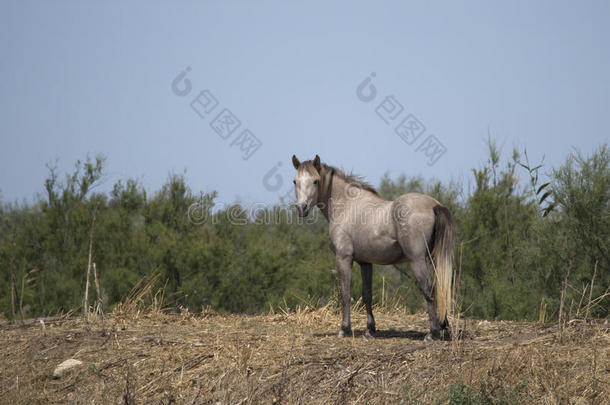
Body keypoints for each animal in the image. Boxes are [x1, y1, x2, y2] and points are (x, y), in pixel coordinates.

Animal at [290, 154, 452, 338]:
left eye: (316, 181)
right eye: (295, 181)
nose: (301, 208)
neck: (347, 206)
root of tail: (434, 205)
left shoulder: (343, 258)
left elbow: (345, 293)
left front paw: (344, 329)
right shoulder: (365, 263)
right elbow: (367, 294)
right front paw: (370, 329)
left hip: (417, 260)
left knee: (428, 288)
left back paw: (433, 333)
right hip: (434, 258)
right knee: (441, 287)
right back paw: (444, 327)